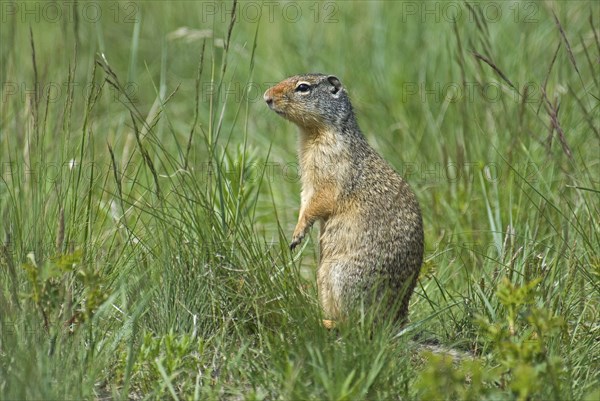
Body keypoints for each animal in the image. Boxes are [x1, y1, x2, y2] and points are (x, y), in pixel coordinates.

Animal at [264, 74, 424, 324]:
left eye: (303, 88)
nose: (266, 97)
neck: (313, 135)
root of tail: (398, 316)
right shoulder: (308, 183)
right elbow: (305, 200)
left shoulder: (332, 170)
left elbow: (320, 201)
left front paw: (297, 235)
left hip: (338, 274)